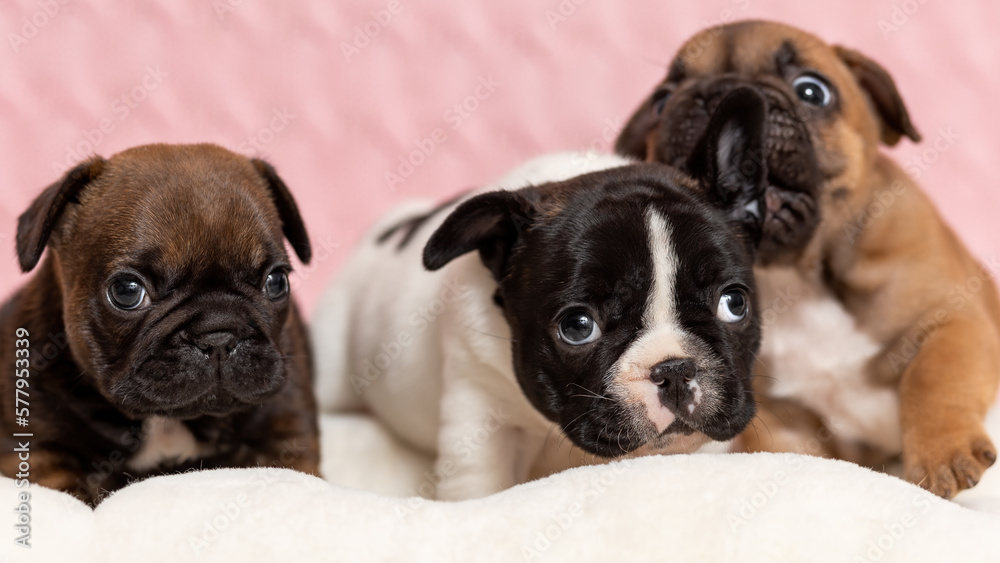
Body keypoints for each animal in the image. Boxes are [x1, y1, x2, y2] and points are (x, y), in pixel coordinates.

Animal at [616, 19, 1000, 500]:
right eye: (662, 101)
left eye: (813, 91)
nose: (723, 95)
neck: (799, 274)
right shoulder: (787, 413)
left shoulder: (951, 321)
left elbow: (934, 377)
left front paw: (943, 454)